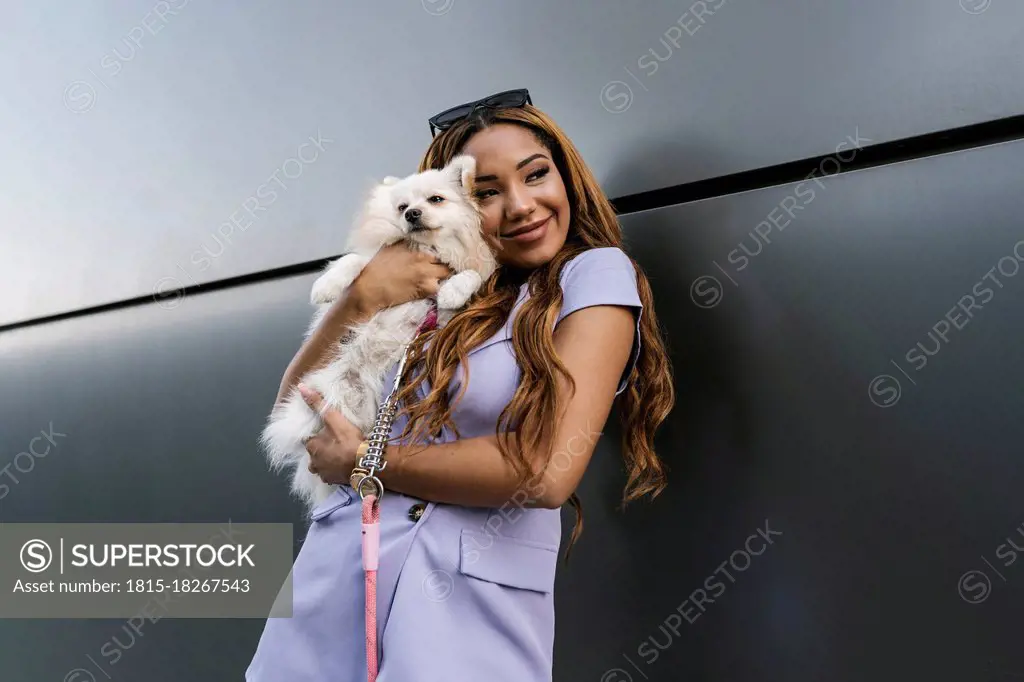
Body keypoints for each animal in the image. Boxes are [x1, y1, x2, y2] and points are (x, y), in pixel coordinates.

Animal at [256, 155, 495, 509]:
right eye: (402, 207)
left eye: (436, 199)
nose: (412, 214)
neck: (428, 248)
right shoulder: (375, 262)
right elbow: (356, 262)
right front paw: (325, 286)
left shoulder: (442, 315)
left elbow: (469, 276)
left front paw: (453, 289)